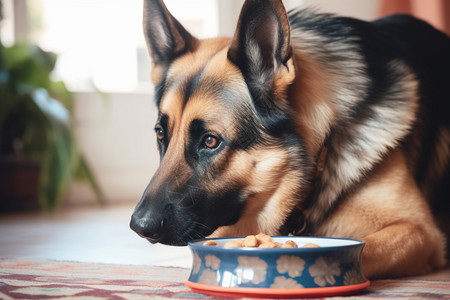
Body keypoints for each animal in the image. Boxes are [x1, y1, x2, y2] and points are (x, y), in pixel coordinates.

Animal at [130, 0, 450, 278]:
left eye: (210, 141)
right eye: (161, 134)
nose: (139, 227)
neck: (322, 150)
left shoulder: (419, 231)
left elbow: (356, 250)